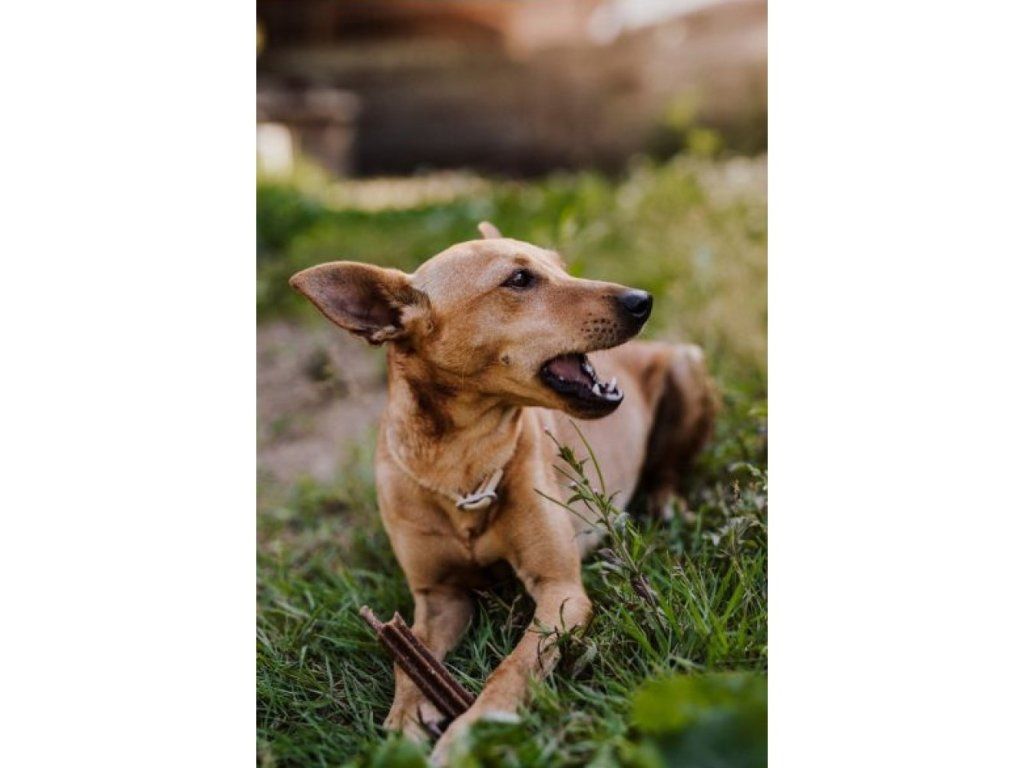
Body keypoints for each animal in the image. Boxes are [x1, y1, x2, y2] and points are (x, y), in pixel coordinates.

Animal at [290, 222, 717, 763]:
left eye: (561, 266)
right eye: (519, 280)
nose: (642, 299)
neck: (463, 467)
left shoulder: (559, 592)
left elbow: (512, 668)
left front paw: (469, 731)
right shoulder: (437, 598)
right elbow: (409, 662)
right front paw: (405, 722)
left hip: (686, 364)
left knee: (669, 466)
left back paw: (665, 501)